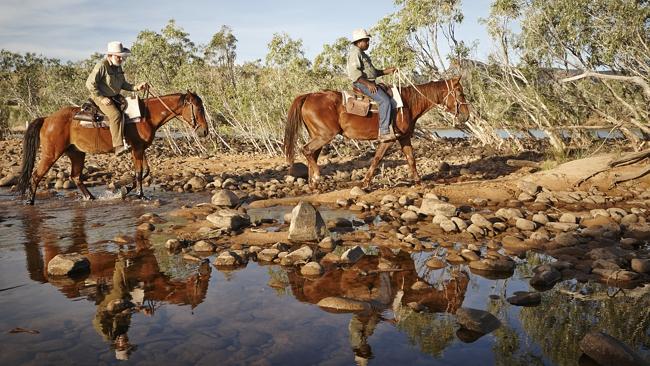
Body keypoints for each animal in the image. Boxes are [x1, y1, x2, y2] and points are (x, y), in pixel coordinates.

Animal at [16, 91, 208, 204]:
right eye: (199, 108)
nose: (204, 131)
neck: (146, 116)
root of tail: (47, 119)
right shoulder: (137, 149)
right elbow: (139, 172)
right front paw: (140, 195)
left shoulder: (140, 149)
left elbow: (145, 171)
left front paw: (126, 190)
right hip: (51, 153)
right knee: (36, 176)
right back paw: (29, 201)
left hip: (77, 153)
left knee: (76, 176)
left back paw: (91, 197)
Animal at [280, 76, 468, 187]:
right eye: (459, 92)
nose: (466, 114)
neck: (407, 103)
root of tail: (309, 95)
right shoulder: (388, 139)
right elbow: (377, 159)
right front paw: (365, 182)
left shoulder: (404, 138)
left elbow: (411, 159)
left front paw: (418, 181)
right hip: (325, 135)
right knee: (306, 150)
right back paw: (318, 178)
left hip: (318, 135)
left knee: (312, 154)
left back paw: (313, 183)